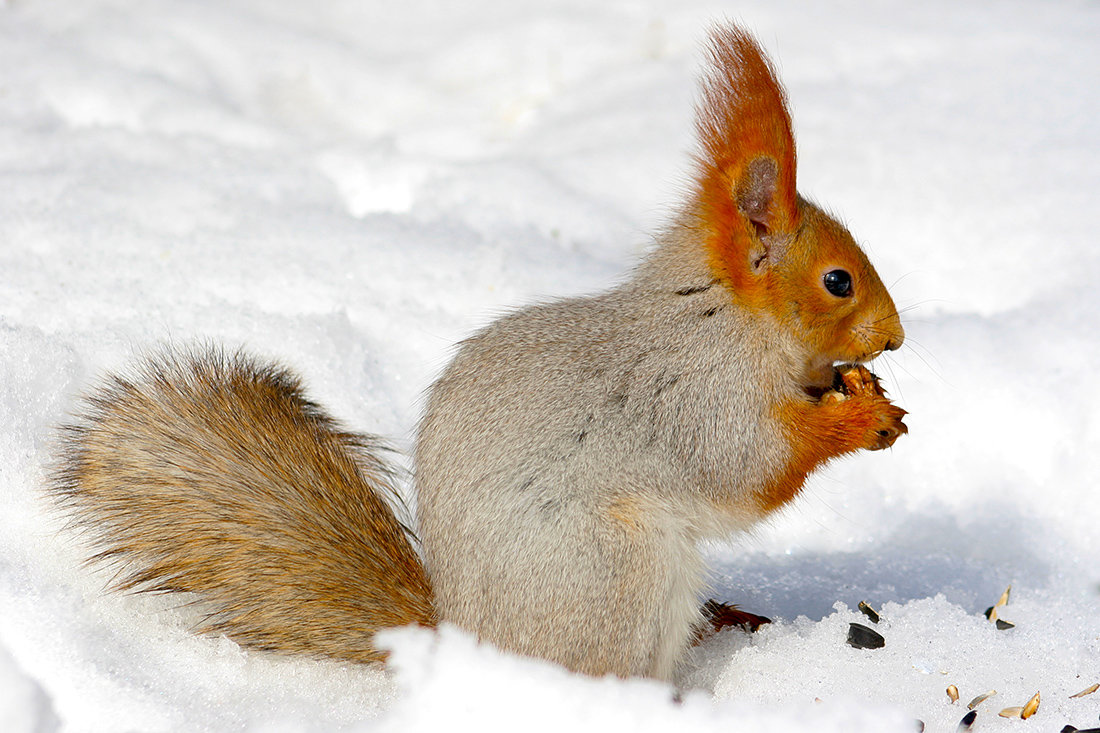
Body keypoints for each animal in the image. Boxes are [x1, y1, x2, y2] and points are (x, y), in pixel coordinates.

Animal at [49, 25, 902, 682]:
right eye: (837, 281)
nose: (895, 337)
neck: (725, 318)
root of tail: (461, 643)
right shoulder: (696, 394)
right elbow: (751, 465)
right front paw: (857, 419)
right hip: (613, 572)